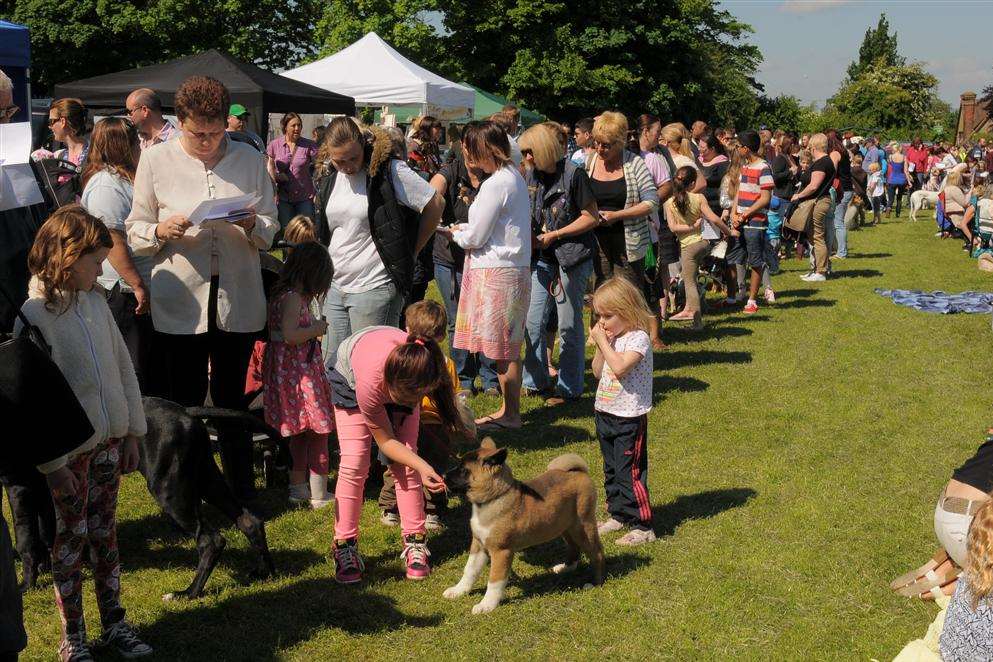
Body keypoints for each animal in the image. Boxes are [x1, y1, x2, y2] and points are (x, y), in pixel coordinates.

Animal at [442, 438, 604, 616]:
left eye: (464, 471)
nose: (443, 476)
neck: (493, 499)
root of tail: (578, 472)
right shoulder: (479, 545)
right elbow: (469, 570)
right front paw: (459, 590)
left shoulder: (501, 552)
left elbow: (494, 581)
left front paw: (487, 605)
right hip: (565, 527)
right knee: (574, 547)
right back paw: (566, 568)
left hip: (583, 527)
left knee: (597, 553)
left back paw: (595, 583)